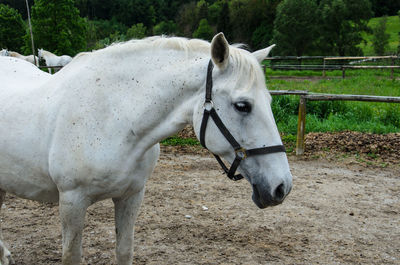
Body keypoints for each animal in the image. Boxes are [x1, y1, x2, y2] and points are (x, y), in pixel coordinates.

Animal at [0, 33, 294, 264]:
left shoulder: (131, 196)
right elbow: (71, 256)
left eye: (269, 101)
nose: (282, 187)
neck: (110, 115)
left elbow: (124, 251)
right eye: (242, 105)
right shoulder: (72, 202)